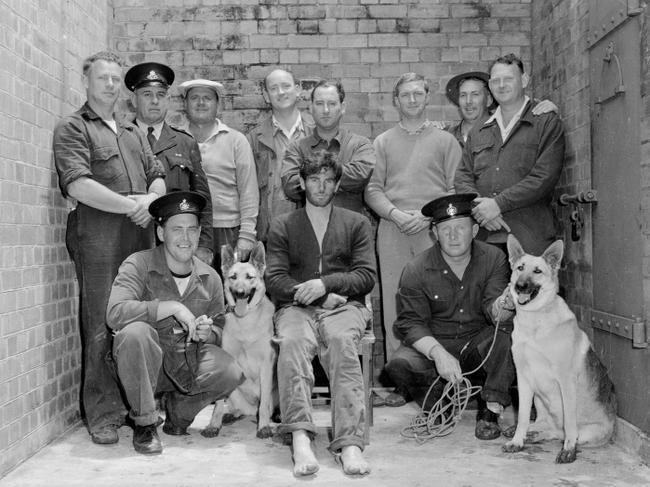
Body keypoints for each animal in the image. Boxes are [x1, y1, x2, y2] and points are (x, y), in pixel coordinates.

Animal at [202, 243, 278, 438]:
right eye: (233, 277)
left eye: (250, 277)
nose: (240, 293)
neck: (246, 322)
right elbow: (218, 404)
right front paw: (214, 424)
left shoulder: (266, 365)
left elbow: (264, 405)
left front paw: (264, 426)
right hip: (235, 390)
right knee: (239, 409)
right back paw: (231, 415)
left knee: (264, 407)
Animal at [498, 236, 616, 466]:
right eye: (520, 268)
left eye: (537, 271)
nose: (520, 286)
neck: (535, 320)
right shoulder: (524, 378)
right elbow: (522, 416)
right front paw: (517, 440)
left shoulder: (566, 380)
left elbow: (570, 423)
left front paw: (568, 450)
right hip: (538, 398)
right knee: (545, 425)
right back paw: (530, 432)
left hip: (587, 430)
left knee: (562, 431)